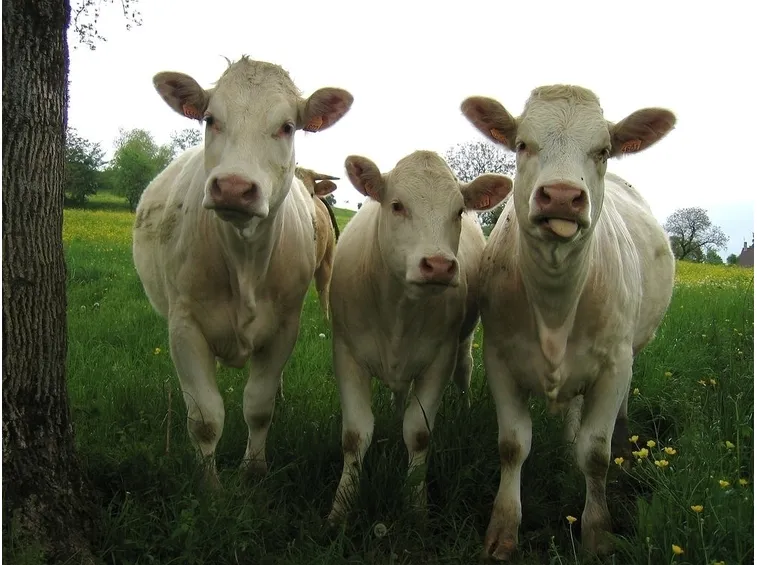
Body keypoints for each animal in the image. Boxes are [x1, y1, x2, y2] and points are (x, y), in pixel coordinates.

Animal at [325, 150, 512, 523]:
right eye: (397, 205)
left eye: (458, 211)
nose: (439, 265)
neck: (399, 310)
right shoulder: (347, 354)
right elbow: (355, 436)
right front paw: (341, 509)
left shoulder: (439, 359)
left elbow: (419, 433)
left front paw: (415, 506)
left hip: (464, 342)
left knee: (465, 370)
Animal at [459, 85, 676, 560]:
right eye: (523, 144)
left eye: (604, 150)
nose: (560, 196)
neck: (555, 306)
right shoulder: (500, 358)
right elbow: (512, 445)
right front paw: (503, 529)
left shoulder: (614, 365)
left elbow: (595, 454)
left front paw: (598, 533)